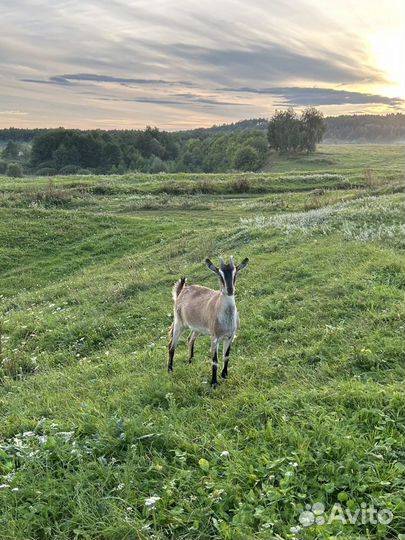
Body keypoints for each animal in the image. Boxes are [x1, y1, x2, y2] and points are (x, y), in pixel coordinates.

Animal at [167, 256, 249, 384]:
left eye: (235, 273)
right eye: (220, 275)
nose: (230, 290)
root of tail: (182, 290)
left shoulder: (230, 336)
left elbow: (226, 356)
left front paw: (224, 375)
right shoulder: (215, 337)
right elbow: (215, 361)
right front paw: (214, 382)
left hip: (196, 327)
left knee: (190, 339)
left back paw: (190, 360)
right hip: (179, 323)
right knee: (172, 345)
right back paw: (170, 369)